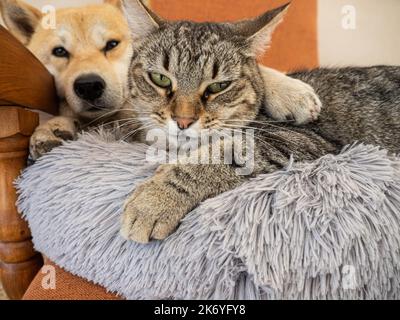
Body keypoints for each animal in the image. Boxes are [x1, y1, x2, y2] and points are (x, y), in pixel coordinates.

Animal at [119, 0, 400, 244]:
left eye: (219, 86)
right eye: (160, 79)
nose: (183, 120)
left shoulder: (301, 141)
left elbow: (216, 156)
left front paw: (154, 201)